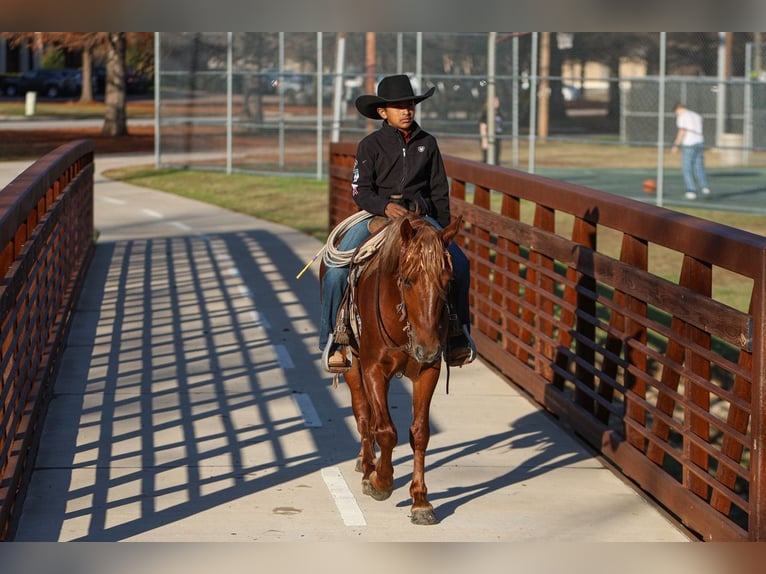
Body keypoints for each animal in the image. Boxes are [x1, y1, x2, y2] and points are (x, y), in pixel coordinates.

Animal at [332, 213, 462, 528]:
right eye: (408, 280)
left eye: (448, 281)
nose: (428, 347)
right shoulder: (373, 369)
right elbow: (386, 431)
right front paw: (381, 481)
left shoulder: (428, 371)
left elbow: (420, 433)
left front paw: (421, 500)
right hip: (353, 364)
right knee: (363, 412)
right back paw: (368, 466)